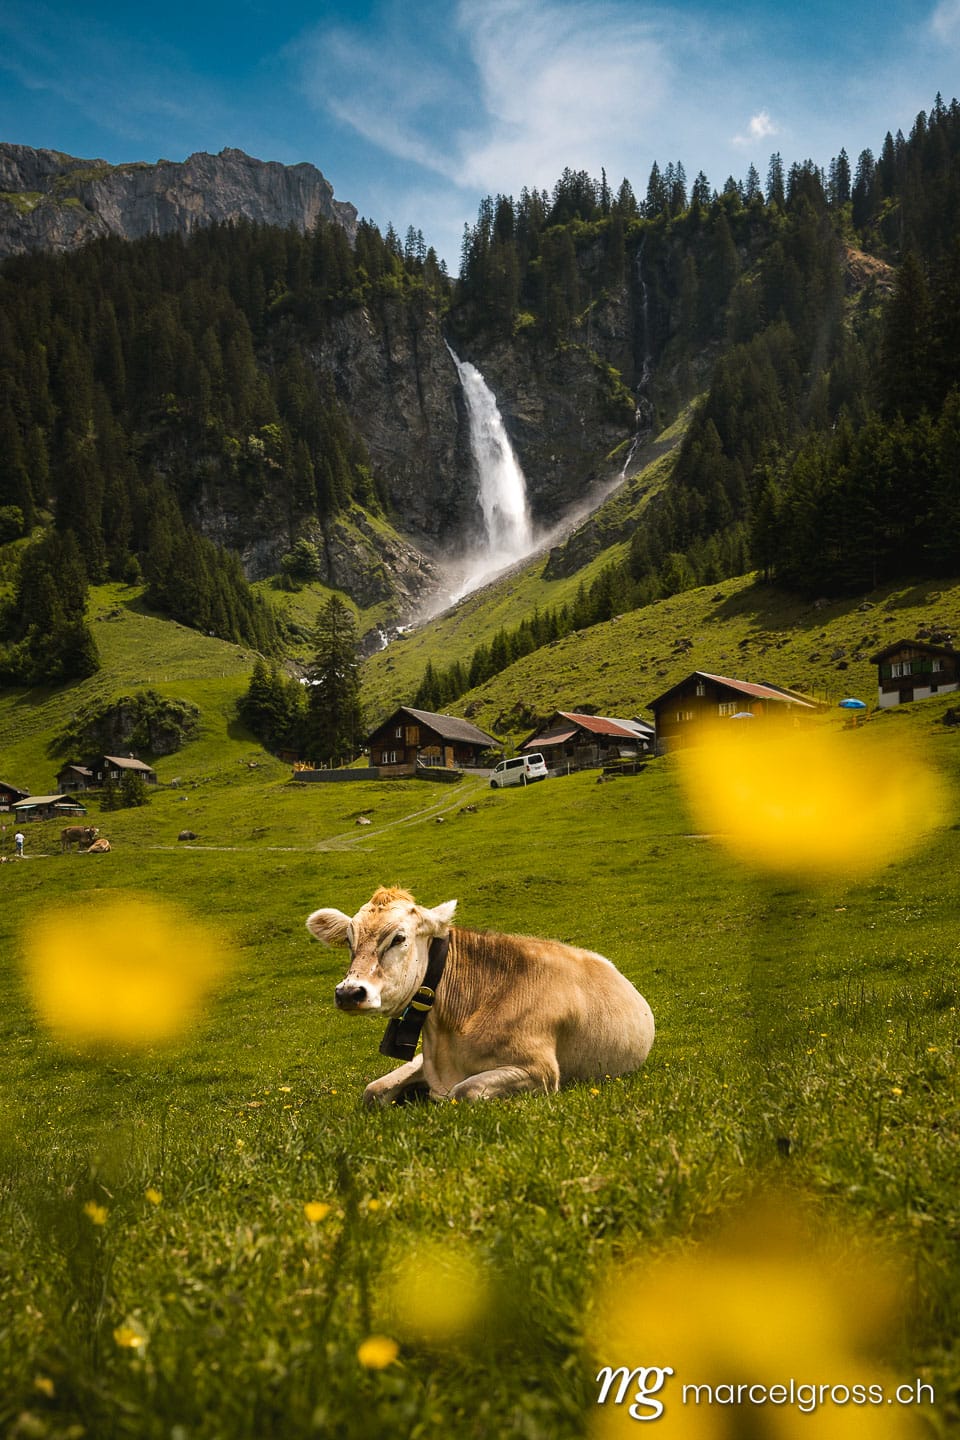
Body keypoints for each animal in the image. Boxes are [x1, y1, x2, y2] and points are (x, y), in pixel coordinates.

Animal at [306, 886, 654, 1106]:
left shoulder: (540, 1071)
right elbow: (373, 1091)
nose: (349, 992)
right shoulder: (424, 1061)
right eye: (349, 941)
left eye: (399, 938)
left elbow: (465, 1091)